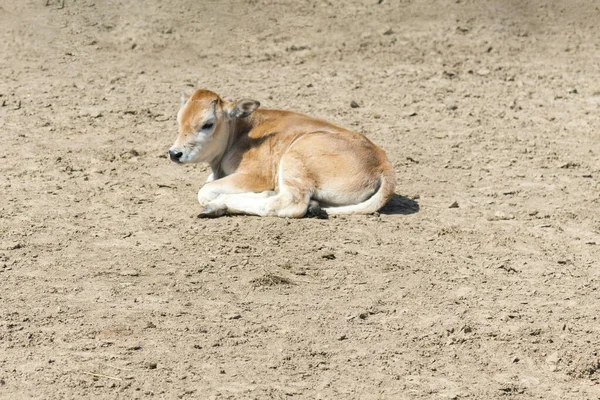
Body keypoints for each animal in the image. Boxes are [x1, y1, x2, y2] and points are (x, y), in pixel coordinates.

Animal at [169, 89, 396, 217]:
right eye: (179, 120)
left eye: (208, 124)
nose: (174, 153)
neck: (241, 131)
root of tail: (382, 161)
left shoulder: (255, 176)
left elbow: (205, 191)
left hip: (295, 158)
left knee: (289, 204)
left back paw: (219, 205)